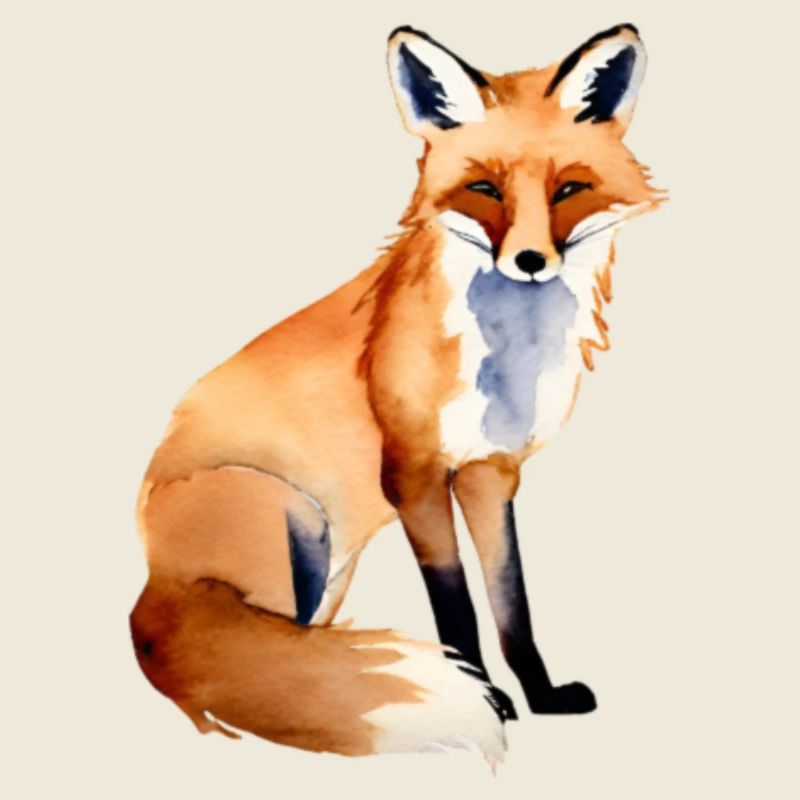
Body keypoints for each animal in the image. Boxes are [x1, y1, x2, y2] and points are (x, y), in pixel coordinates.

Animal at [130, 23, 663, 764]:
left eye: (569, 189)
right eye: (483, 187)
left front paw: (540, 694)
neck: (510, 354)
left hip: (328, 568)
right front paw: (488, 699)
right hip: (298, 519)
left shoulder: (490, 472)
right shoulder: (412, 473)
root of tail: (152, 588)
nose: (530, 262)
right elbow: (457, 608)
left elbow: (512, 601)